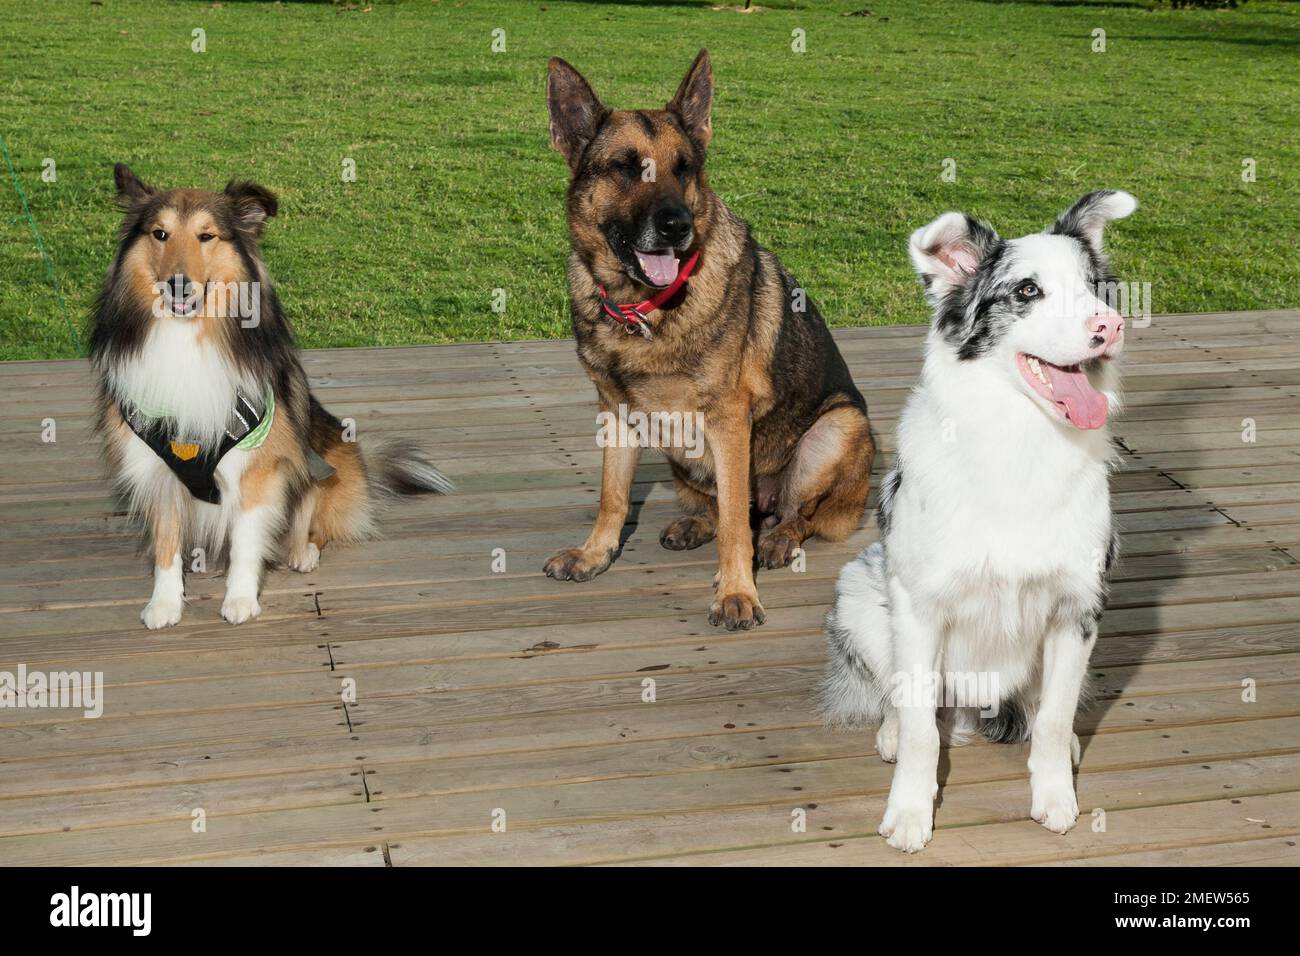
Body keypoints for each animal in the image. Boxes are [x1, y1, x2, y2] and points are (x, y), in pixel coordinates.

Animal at [91, 164, 452, 629]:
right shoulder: (157, 470)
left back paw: (303, 553)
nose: (178, 286)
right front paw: (165, 604)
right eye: (160, 234)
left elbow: (246, 539)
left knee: (313, 522)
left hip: (323, 465)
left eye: (207, 236)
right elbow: (165, 543)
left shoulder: (259, 469)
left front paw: (241, 599)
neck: (188, 336)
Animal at [543, 50, 878, 629]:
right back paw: (696, 524)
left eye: (685, 168)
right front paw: (595, 553)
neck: (646, 309)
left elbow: (736, 531)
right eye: (626, 167)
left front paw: (737, 591)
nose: (676, 226)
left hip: (837, 428)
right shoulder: (615, 412)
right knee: (723, 506)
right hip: (684, 458)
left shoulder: (728, 419)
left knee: (792, 513)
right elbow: (613, 496)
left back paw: (779, 538)